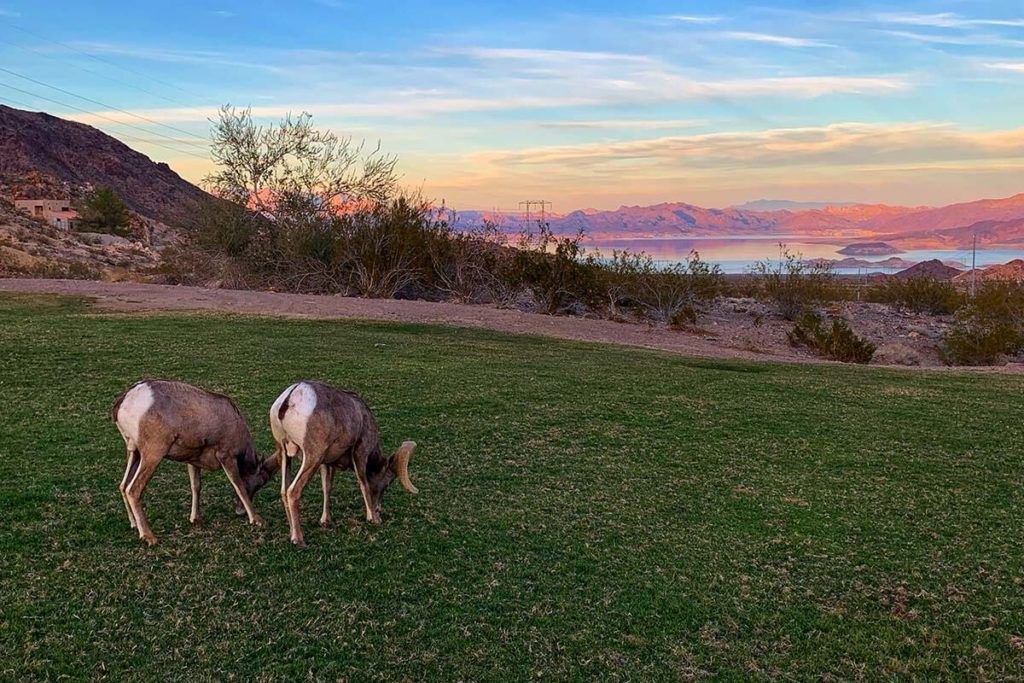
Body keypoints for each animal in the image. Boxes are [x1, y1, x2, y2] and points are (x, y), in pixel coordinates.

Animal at [112, 378, 276, 544]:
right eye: (260, 483)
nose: (239, 511)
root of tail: (125, 399)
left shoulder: (192, 461)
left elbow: (196, 486)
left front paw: (195, 519)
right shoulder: (226, 457)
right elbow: (239, 486)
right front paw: (257, 520)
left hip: (134, 452)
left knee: (123, 485)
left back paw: (134, 525)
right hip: (152, 455)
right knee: (133, 489)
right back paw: (149, 537)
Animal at [272, 382, 419, 548]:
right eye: (386, 484)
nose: (378, 510)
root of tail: (291, 396)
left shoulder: (326, 463)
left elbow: (327, 488)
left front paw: (325, 521)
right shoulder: (360, 454)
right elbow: (364, 484)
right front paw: (373, 519)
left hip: (284, 453)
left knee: (284, 491)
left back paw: (291, 533)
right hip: (312, 457)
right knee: (293, 491)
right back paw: (298, 539)